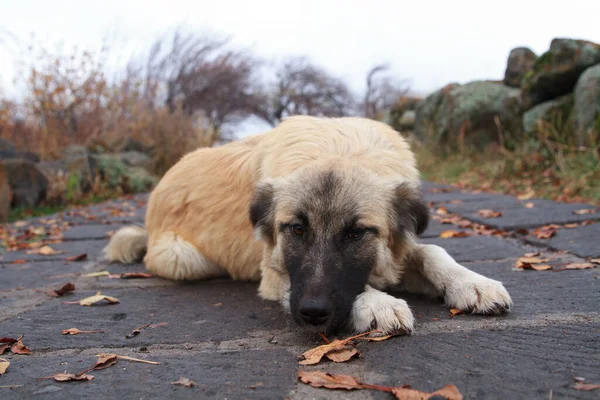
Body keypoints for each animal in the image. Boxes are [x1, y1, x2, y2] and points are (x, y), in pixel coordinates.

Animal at [103, 115, 510, 334]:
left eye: (356, 233)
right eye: (296, 229)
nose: (313, 314)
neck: (339, 150)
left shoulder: (396, 250)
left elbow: (433, 252)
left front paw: (472, 283)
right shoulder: (275, 273)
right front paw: (377, 303)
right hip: (185, 259)